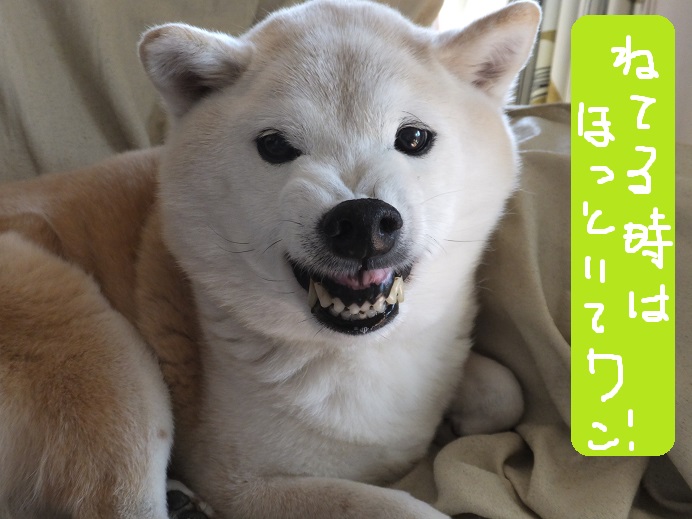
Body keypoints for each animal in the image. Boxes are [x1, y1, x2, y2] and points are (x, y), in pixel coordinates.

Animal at [0, 1, 540, 517]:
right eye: (276, 146)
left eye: (413, 138)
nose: (362, 220)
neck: (356, 354)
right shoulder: (238, 484)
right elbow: (393, 507)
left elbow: (505, 391)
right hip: (97, 345)